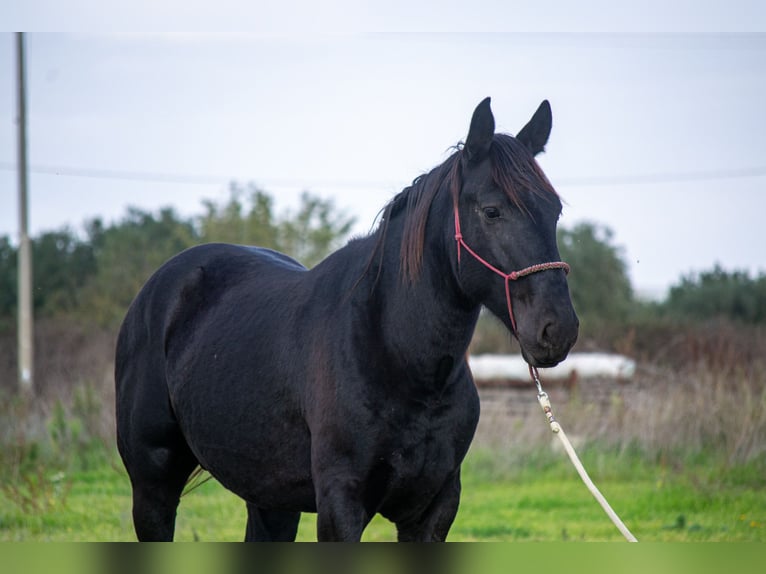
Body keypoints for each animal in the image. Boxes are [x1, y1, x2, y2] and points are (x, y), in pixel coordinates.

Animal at [115, 97, 576, 544]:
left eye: (554, 211)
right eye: (492, 211)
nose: (558, 330)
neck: (401, 360)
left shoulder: (433, 509)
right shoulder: (341, 505)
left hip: (270, 495)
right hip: (153, 486)